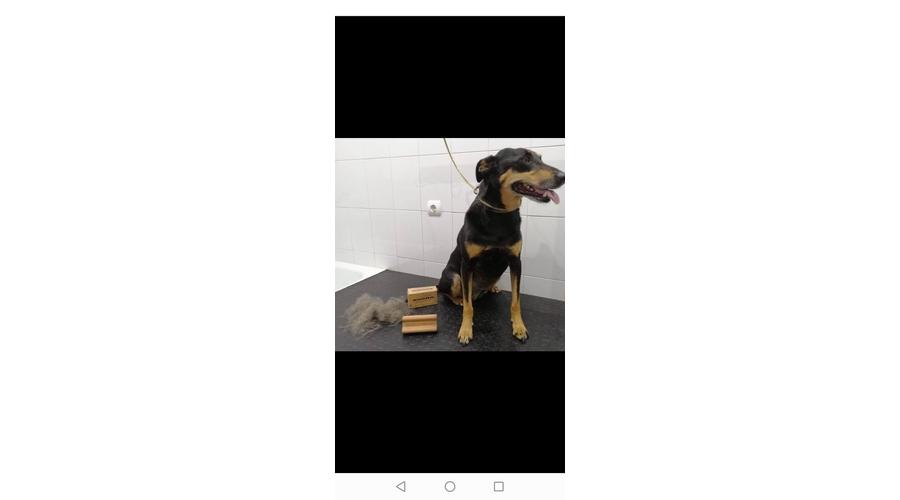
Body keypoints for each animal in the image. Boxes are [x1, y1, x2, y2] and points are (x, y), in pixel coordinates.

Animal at [437, 148, 565, 345]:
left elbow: (516, 301)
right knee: (449, 293)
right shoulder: (467, 265)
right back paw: (458, 299)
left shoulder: (515, 262)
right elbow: (469, 307)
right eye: (525, 159)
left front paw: (519, 327)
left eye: (540, 158)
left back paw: (493, 287)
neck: (500, 214)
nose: (563, 176)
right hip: (453, 277)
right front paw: (465, 329)